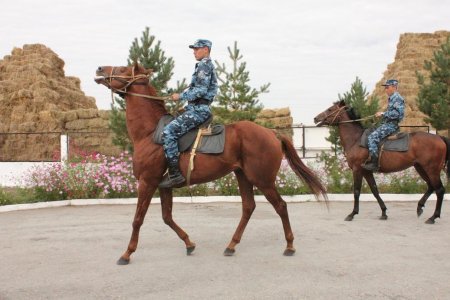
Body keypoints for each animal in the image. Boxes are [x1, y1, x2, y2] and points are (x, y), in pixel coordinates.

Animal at [95, 63, 326, 264]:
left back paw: (289, 246)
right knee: (248, 207)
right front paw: (189, 243)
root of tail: (271, 133)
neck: (150, 133)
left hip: (263, 180)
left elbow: (138, 219)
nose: (99, 69)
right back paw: (231, 245)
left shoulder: (147, 182)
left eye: (123, 69)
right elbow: (167, 217)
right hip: (243, 175)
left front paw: (127, 253)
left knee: (280, 206)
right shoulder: (163, 186)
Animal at [312, 101, 450, 223]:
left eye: (330, 109)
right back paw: (419, 208)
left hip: (431, 169)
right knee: (431, 187)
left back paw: (433, 217)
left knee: (440, 190)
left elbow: (356, 192)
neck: (356, 139)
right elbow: (375, 190)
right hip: (420, 167)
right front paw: (383, 212)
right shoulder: (366, 171)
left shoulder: (357, 170)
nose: (315, 118)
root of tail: (439, 137)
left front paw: (352, 214)